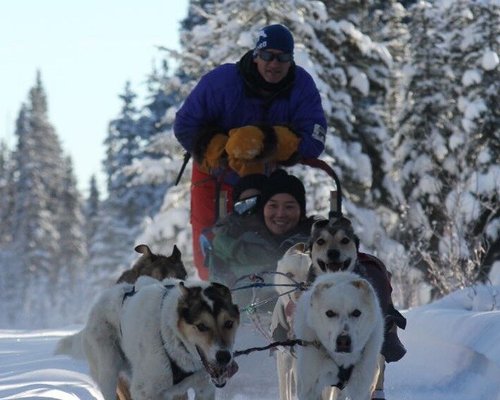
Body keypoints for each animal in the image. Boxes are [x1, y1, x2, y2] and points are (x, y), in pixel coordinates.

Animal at [59, 278, 239, 400]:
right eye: (201, 326)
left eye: (229, 323)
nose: (224, 356)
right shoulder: (143, 391)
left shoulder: (204, 390)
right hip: (108, 373)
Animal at [292, 272, 382, 400]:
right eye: (329, 313)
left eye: (356, 312)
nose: (343, 341)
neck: (342, 360)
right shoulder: (309, 390)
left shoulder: (361, 389)